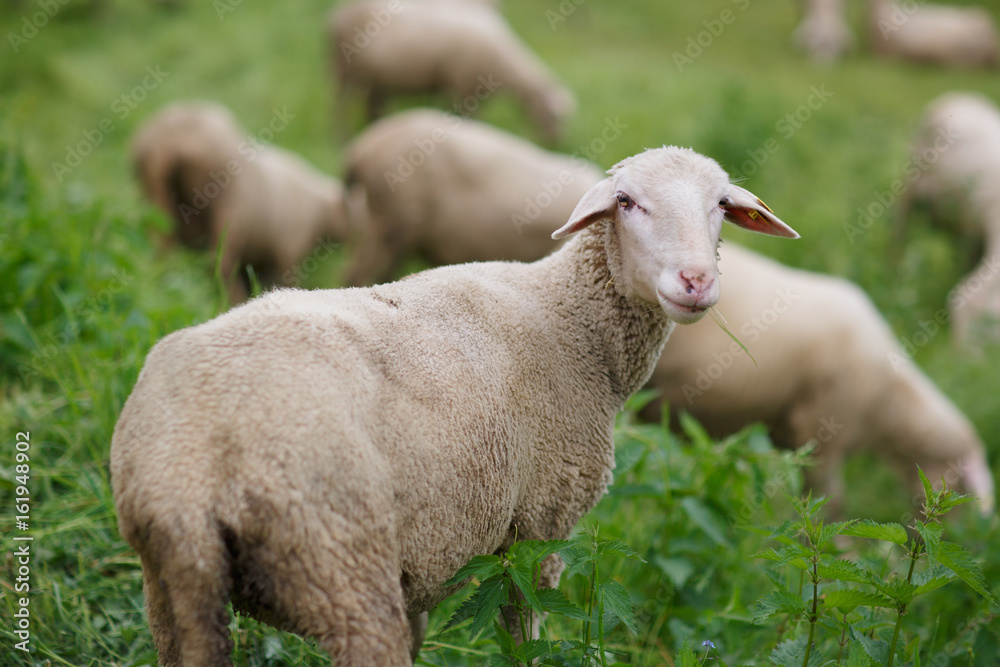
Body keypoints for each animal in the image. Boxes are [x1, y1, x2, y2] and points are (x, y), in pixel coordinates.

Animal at [110, 146, 799, 666]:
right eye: (627, 202)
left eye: (721, 206)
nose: (695, 282)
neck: (571, 320)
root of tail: (189, 469)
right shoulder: (539, 530)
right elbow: (524, 638)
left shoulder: (422, 563)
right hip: (339, 563)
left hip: (172, 589)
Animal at [130, 101, 348, 304]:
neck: (321, 209)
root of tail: (168, 141)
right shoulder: (288, 249)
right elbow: (285, 278)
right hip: (229, 207)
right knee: (220, 263)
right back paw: (233, 300)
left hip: (155, 199)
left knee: (163, 246)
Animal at [328, 0, 576, 143]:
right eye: (552, 117)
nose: (556, 143)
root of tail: (337, 13)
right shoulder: (464, 88)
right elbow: (471, 120)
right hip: (342, 66)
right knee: (341, 106)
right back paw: (342, 137)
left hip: (377, 77)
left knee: (373, 106)